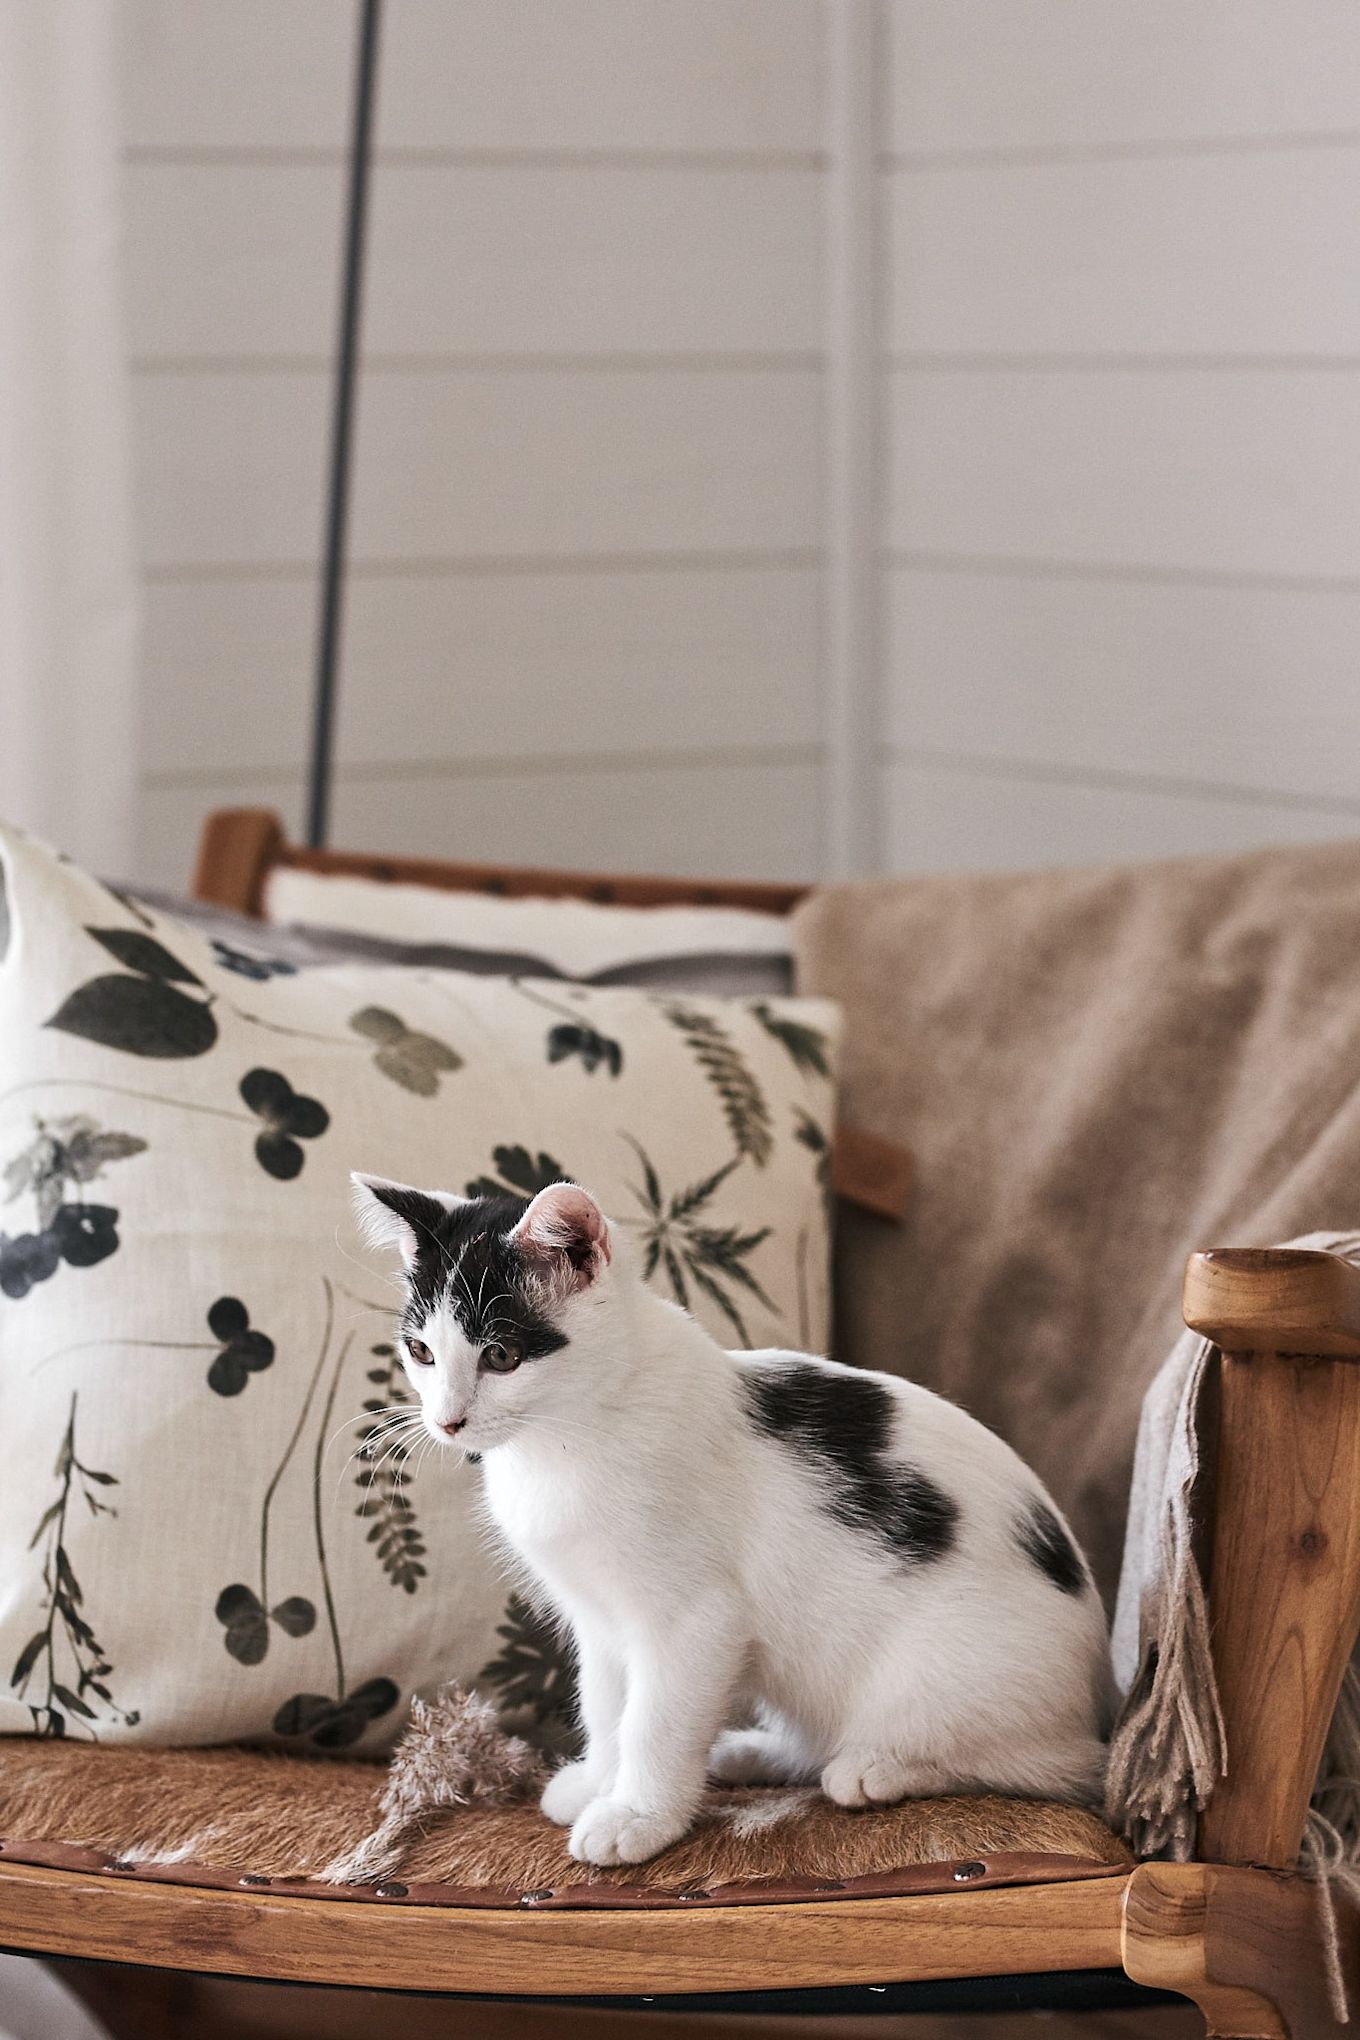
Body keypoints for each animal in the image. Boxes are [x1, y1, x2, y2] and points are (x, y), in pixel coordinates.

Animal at [354, 1183, 1117, 1868]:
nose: (447, 1421)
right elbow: (606, 1704)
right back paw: (750, 1752)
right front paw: (599, 1781)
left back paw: (879, 1767)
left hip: (942, 1679)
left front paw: (636, 1817)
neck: (570, 1431)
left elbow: (655, 1719)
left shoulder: (695, 1619)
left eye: (501, 1356)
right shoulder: (598, 1616)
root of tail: (1096, 1702)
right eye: (421, 1352)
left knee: (1034, 1765)